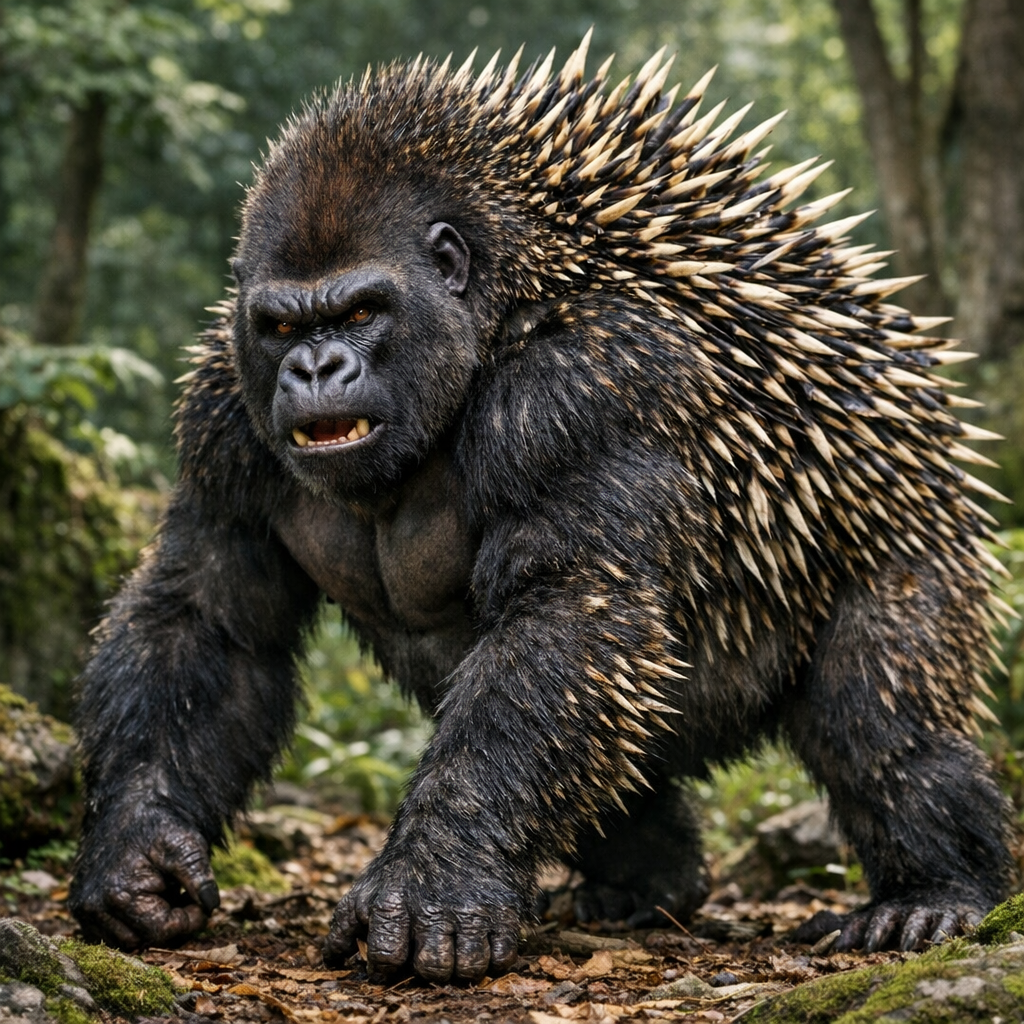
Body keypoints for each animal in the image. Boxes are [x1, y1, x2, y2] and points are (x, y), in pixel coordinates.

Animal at [69, 42, 1012, 983]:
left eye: (363, 310)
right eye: (278, 325)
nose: (315, 368)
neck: (497, 297)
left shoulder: (583, 389)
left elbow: (571, 607)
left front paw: (434, 878)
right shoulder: (222, 415)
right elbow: (209, 623)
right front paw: (138, 849)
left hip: (919, 531)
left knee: (877, 714)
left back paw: (937, 891)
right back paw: (648, 880)